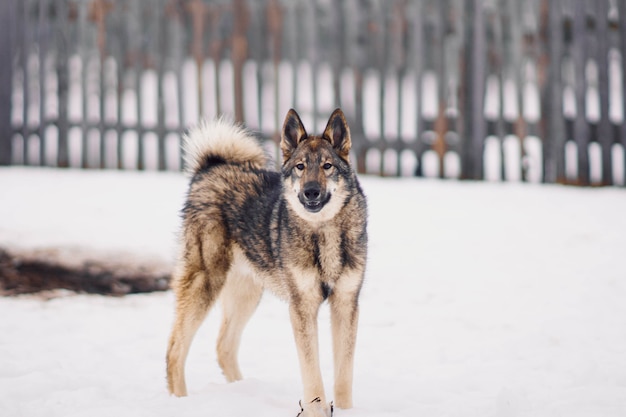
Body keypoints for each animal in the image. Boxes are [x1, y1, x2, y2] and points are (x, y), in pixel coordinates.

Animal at [166, 109, 368, 414]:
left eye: (327, 166)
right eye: (300, 167)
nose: (310, 191)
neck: (322, 232)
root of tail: (210, 167)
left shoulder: (346, 303)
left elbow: (344, 374)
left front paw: (346, 412)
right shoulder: (302, 307)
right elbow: (312, 373)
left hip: (247, 293)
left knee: (224, 346)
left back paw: (242, 392)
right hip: (206, 283)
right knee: (175, 348)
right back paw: (180, 402)